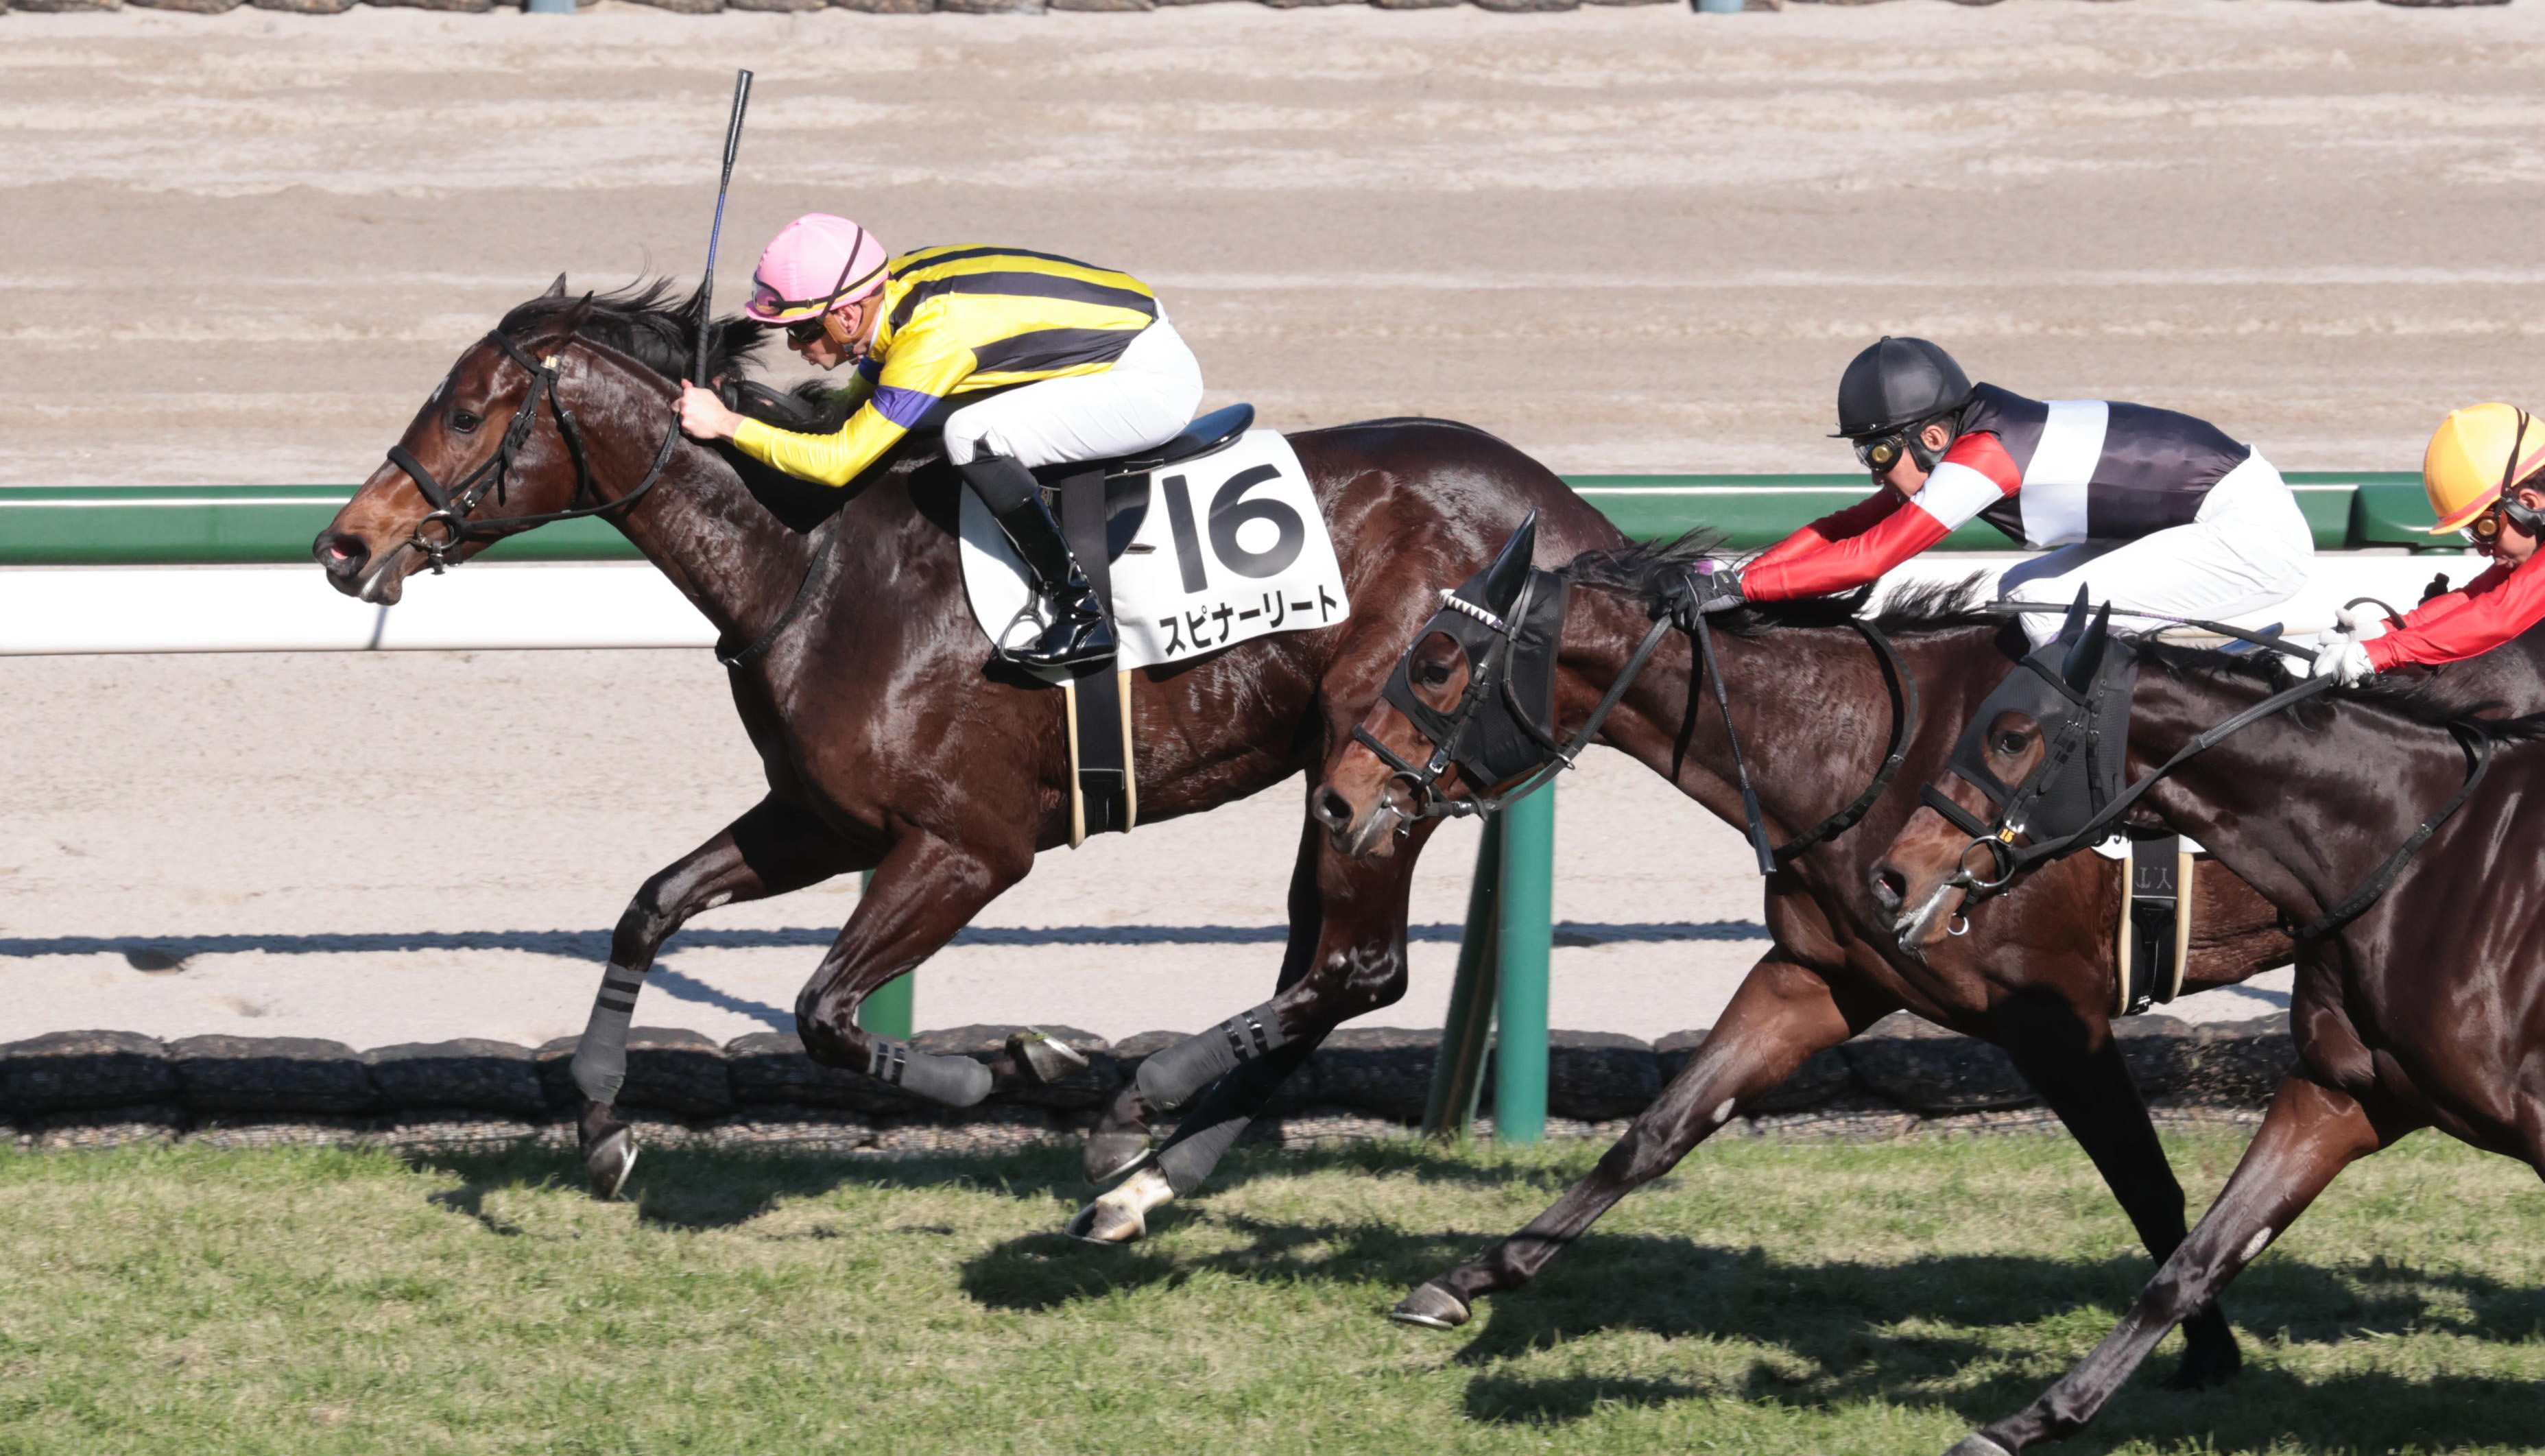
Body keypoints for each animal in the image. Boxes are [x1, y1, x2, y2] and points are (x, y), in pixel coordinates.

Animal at [311, 277, 1627, 1212]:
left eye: (467, 411)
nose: (341, 544)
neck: (814, 564)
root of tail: (1575, 512)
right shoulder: (821, 820)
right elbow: (649, 905)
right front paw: (599, 1126)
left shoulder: (970, 846)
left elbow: (823, 1008)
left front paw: (1006, 1066)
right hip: (1341, 778)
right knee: (1325, 967)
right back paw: (1152, 1173)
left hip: (1388, 760)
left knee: (1358, 966)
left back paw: (1136, 1112)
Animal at [1312, 528, 2340, 1387]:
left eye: (1436, 663)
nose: (1335, 798)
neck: (1864, 751)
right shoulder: (1818, 976)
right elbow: (1658, 1129)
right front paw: (1468, 1277)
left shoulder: (2054, 1015)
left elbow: (2148, 1184)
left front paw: (2207, 1350)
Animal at [1874, 612, 2545, 1455]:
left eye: (2012, 735)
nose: (1893, 874)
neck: (2422, 858)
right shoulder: (2343, 1093)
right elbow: (2195, 1261)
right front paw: (2026, 1422)